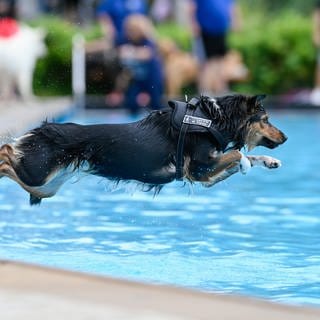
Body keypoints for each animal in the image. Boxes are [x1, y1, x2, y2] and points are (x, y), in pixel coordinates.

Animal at [0, 94, 286, 204]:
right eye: (266, 119)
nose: (284, 138)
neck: (213, 120)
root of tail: (44, 129)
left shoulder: (206, 176)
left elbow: (246, 154)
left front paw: (269, 161)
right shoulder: (200, 168)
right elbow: (239, 154)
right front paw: (247, 164)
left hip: (45, 186)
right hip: (38, 173)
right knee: (5, 152)